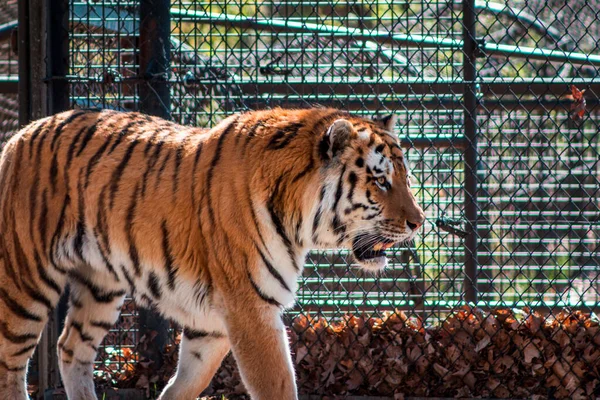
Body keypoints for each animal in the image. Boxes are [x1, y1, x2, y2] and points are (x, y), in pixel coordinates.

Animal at [0, 107, 424, 400]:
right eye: (381, 181)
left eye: (405, 177)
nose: (420, 222)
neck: (299, 219)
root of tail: (19, 134)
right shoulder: (251, 309)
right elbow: (278, 385)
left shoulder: (214, 322)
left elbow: (185, 384)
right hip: (24, 281)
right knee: (10, 364)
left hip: (99, 286)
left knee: (71, 348)